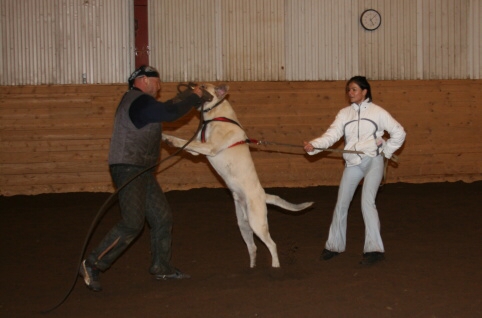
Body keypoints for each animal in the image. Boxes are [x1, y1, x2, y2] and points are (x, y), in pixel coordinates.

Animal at [163, 83, 312, 268]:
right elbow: (187, 145)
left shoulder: (210, 147)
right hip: (243, 224)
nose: (190, 86)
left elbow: (182, 141)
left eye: (203, 86)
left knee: (272, 244)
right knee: (253, 247)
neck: (215, 116)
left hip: (257, 223)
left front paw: (169, 138)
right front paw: (168, 139)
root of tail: (264, 195)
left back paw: (275, 268)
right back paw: (252, 269)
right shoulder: (199, 150)